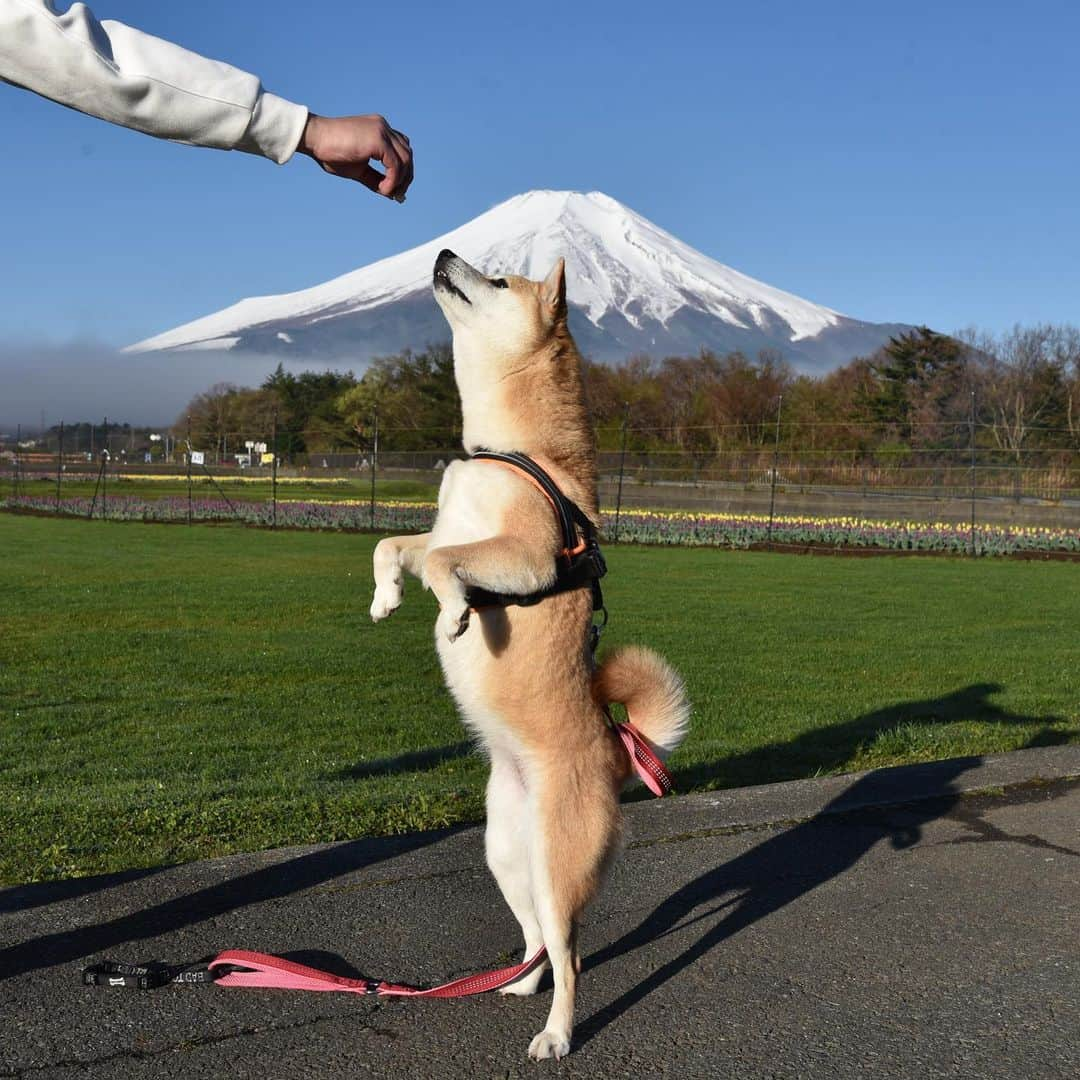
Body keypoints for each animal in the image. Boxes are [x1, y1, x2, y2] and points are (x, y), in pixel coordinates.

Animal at [371, 248, 686, 1058]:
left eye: (499, 280)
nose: (444, 252)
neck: (507, 452)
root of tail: (616, 751)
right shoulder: (445, 530)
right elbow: (397, 545)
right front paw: (386, 597)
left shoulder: (528, 555)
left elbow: (446, 565)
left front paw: (454, 612)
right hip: (508, 858)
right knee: (542, 939)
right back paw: (517, 984)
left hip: (556, 864)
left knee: (571, 955)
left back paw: (558, 1034)